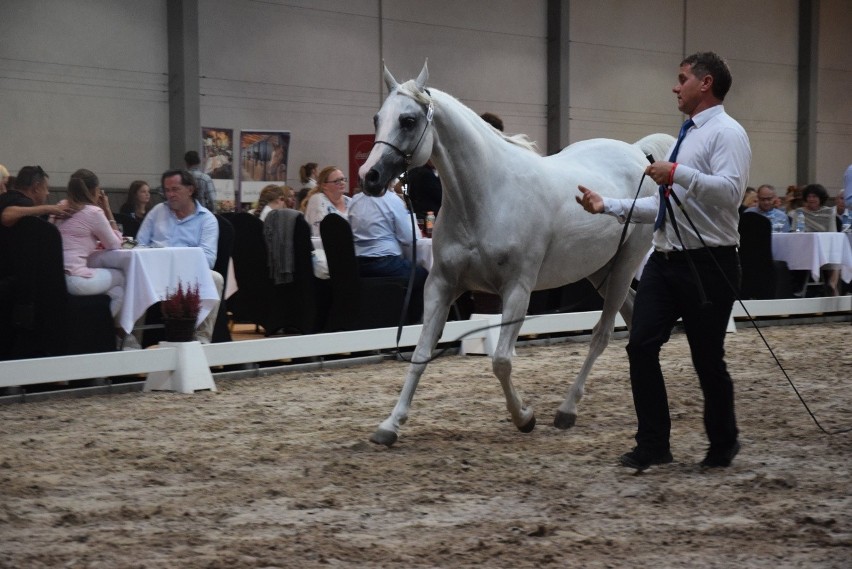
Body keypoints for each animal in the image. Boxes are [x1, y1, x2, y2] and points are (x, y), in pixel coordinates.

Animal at [360, 61, 672, 444]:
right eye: (377, 118)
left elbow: (501, 361)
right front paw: (390, 425)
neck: (487, 196)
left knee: (601, 334)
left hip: (625, 265)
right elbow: (420, 354)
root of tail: (638, 154)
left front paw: (524, 417)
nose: (370, 177)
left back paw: (567, 410)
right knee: (629, 316)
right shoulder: (441, 285)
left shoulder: (517, 291)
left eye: (408, 120)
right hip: (601, 270)